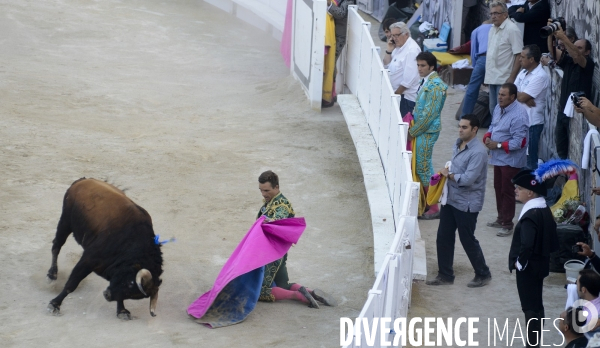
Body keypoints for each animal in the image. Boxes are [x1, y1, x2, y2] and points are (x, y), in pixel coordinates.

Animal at [47, 178, 163, 320]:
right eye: (131, 283)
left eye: (134, 295)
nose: (107, 295)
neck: (130, 244)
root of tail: (82, 180)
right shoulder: (88, 260)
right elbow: (72, 284)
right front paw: (55, 304)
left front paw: (122, 311)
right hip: (65, 221)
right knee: (57, 245)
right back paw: (52, 274)